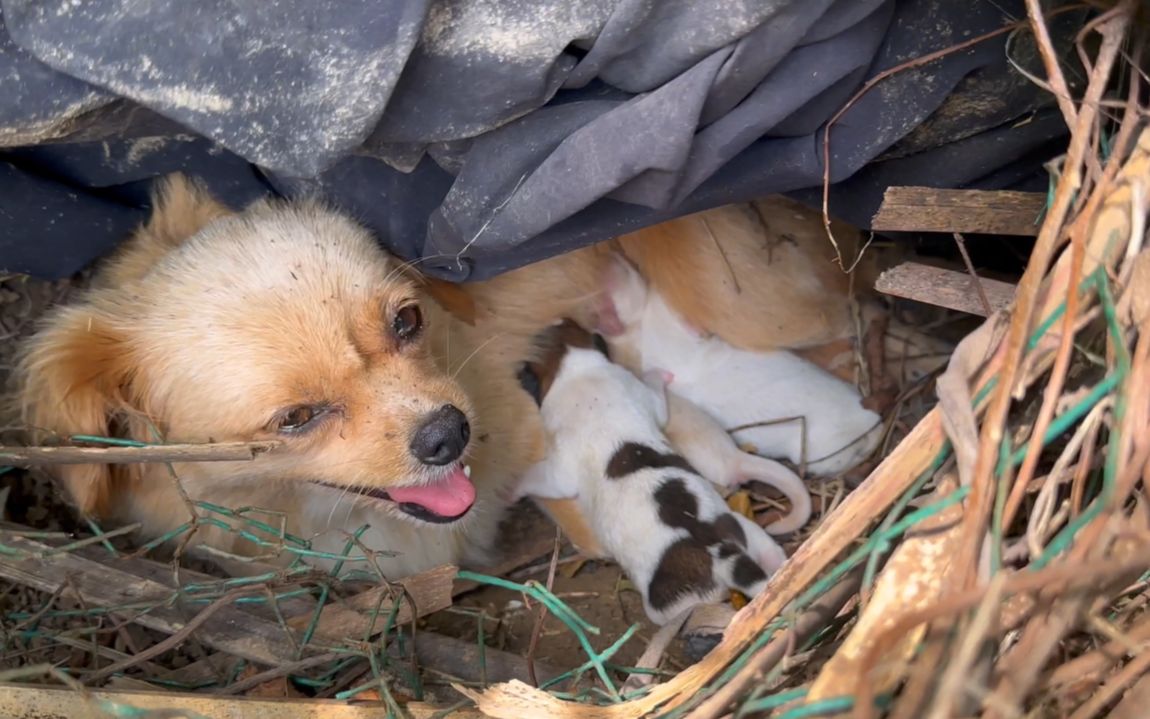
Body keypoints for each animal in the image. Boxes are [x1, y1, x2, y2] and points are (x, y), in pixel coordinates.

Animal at [512, 322, 791, 625]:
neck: (577, 367)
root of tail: (717, 552)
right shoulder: (640, 394)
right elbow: (658, 402)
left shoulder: (559, 460)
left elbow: (546, 479)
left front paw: (514, 487)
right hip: (747, 531)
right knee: (769, 552)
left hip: (669, 604)